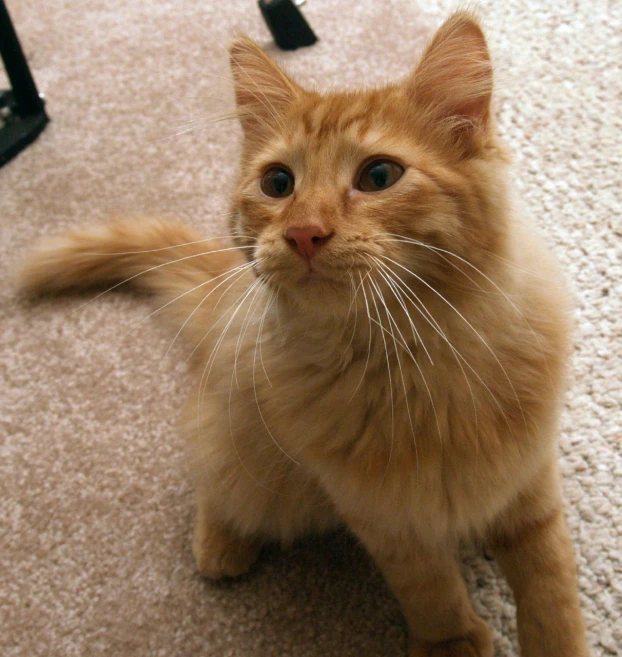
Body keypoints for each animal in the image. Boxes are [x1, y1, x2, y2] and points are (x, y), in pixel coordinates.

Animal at [19, 10, 588, 656]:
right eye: (277, 183)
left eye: (379, 175)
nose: (303, 233)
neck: (414, 362)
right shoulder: (383, 516)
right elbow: (430, 588)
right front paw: (451, 640)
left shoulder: (530, 483)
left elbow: (550, 585)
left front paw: (556, 641)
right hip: (254, 457)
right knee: (215, 478)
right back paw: (220, 544)